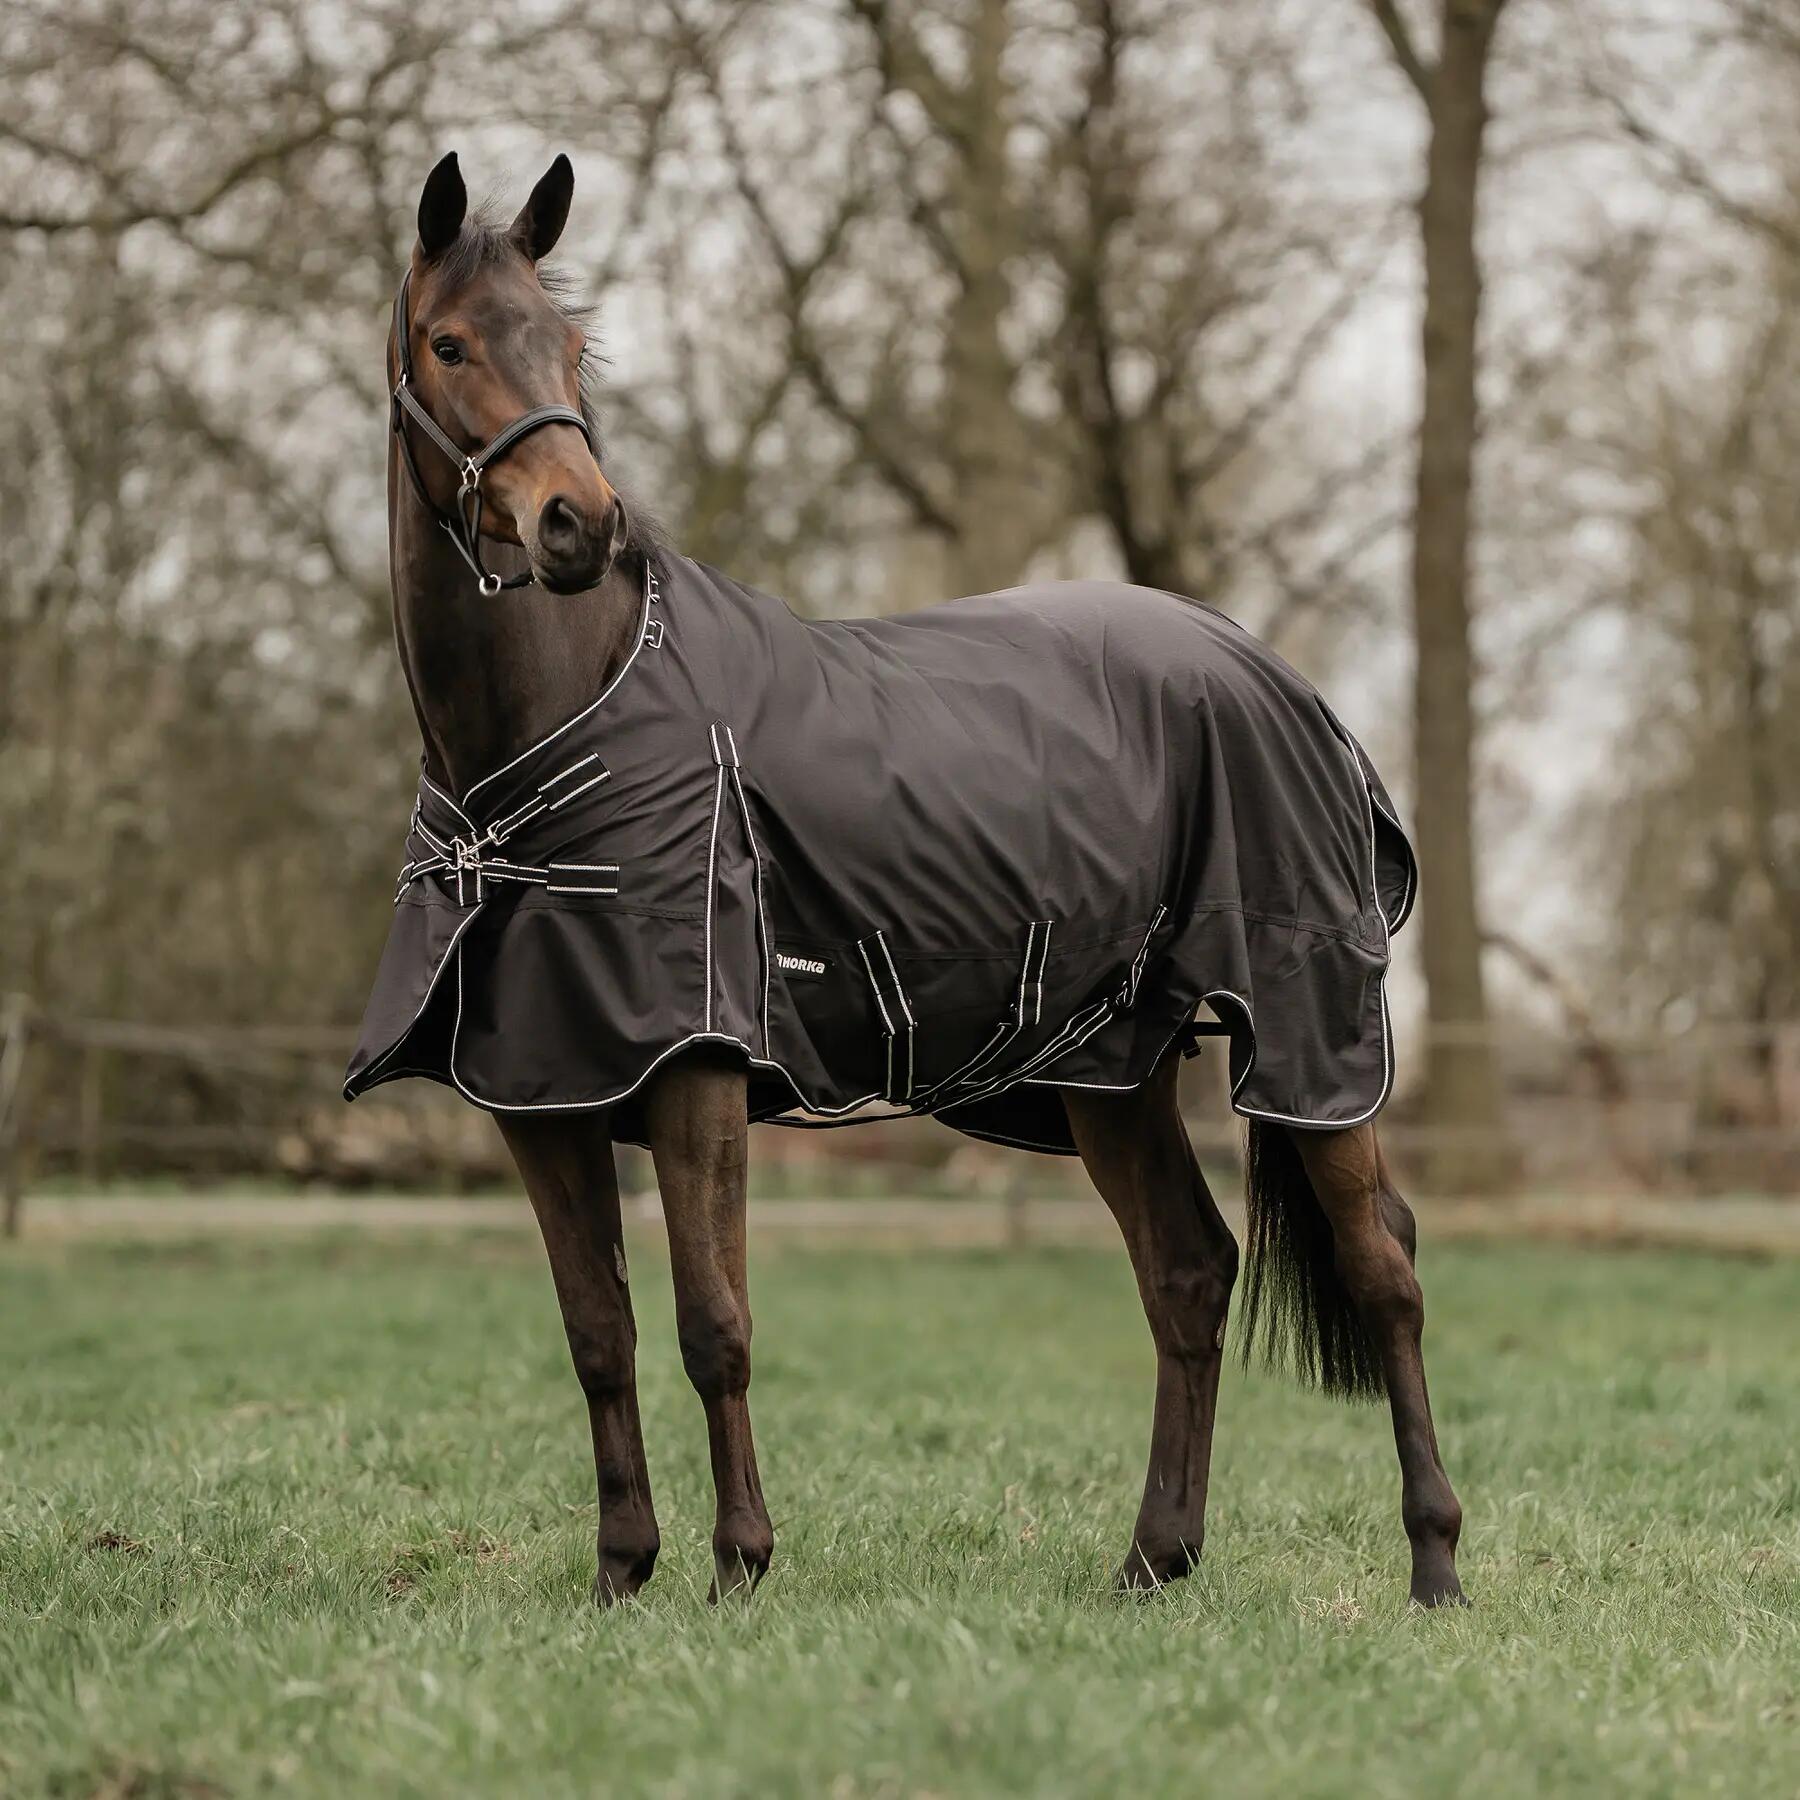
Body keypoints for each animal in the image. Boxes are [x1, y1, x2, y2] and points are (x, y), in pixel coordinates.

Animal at [353, 150, 1465, 1609]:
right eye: (451, 343)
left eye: (573, 347)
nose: (576, 524)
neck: (558, 726)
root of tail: (1276, 676)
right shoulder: (541, 1090)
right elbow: (599, 1333)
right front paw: (620, 1572)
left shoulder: (700, 1073)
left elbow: (714, 1324)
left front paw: (739, 1567)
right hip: (1110, 1071)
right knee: (1187, 1273)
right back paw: (1152, 1563)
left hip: (1310, 1032)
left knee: (1386, 1268)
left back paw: (1435, 1562)